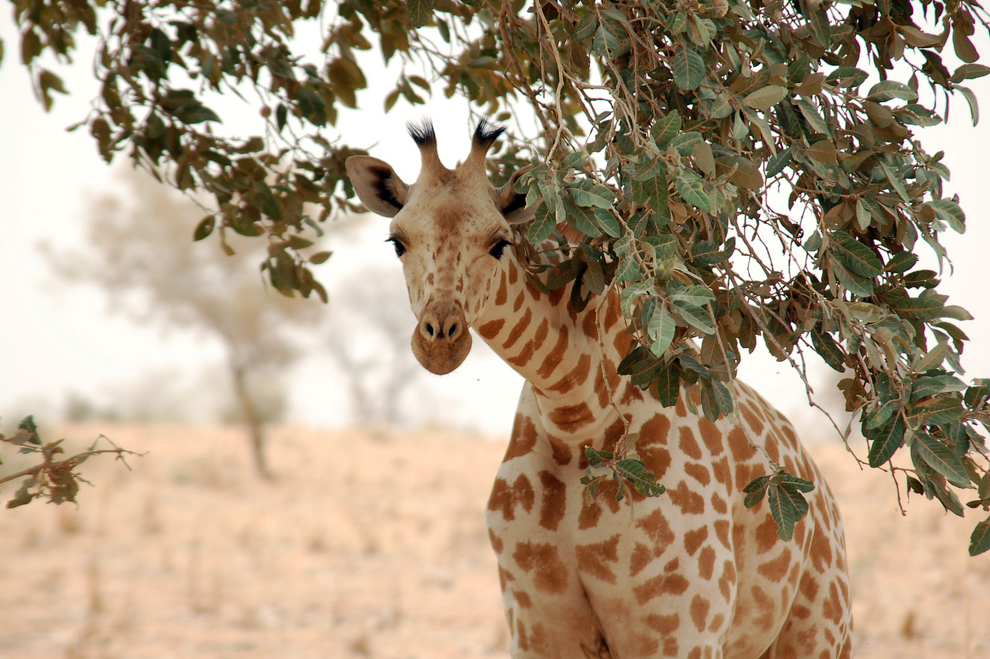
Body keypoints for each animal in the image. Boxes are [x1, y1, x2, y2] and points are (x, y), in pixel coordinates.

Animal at [345, 120, 852, 659]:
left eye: (499, 242)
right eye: (398, 242)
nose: (440, 341)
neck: (576, 415)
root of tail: (822, 493)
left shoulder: (684, 630)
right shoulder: (535, 625)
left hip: (821, 632)